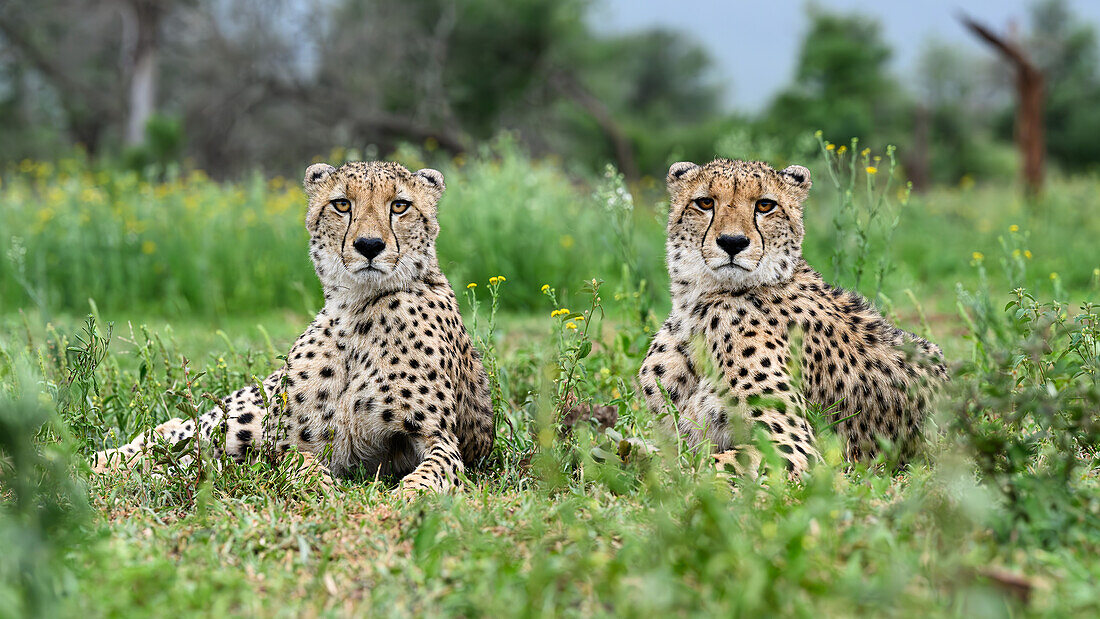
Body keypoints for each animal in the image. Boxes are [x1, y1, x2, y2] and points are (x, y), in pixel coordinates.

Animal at [92, 159, 497, 494]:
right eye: (341, 204)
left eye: (400, 205)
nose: (369, 245)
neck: (356, 310)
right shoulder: (284, 442)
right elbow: (299, 463)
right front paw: (320, 486)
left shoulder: (440, 439)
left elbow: (434, 473)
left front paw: (408, 497)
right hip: (241, 422)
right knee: (172, 433)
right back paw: (98, 463)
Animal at [642, 158, 950, 474]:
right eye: (704, 202)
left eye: (765, 205)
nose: (732, 242)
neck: (697, 305)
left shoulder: (795, 445)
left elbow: (702, 467)